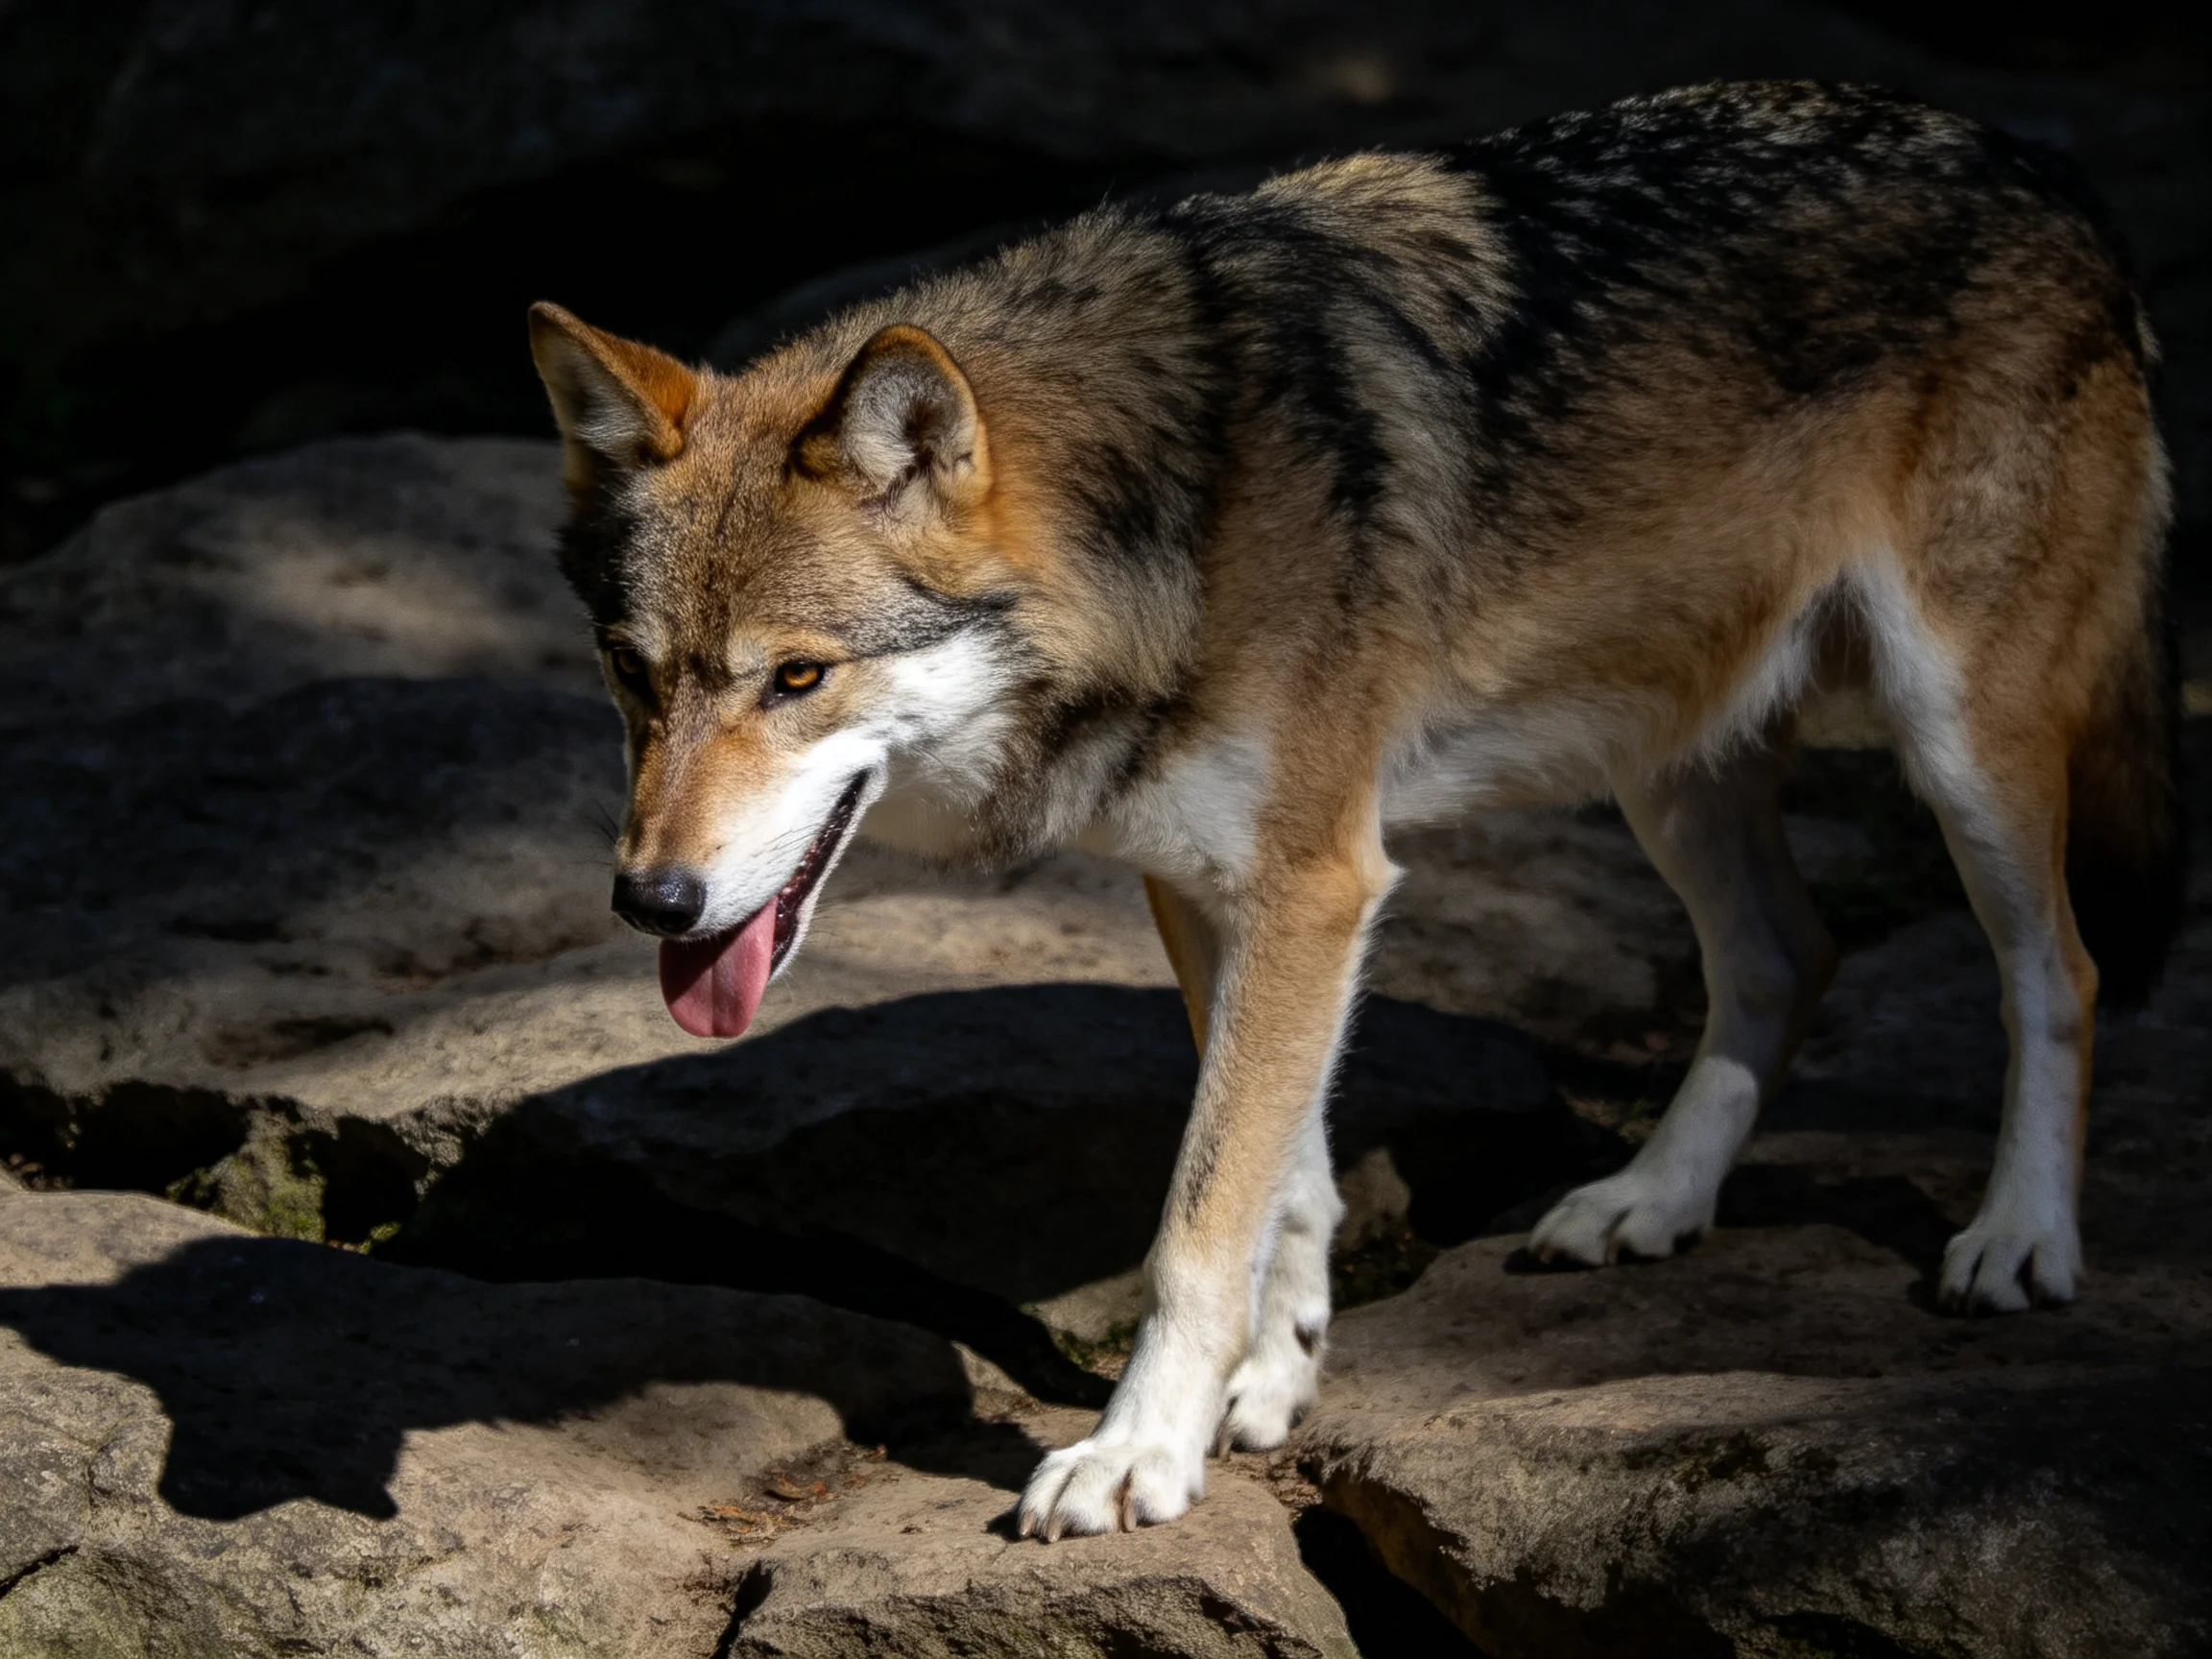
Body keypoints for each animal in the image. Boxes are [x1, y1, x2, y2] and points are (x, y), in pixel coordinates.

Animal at [527, 81, 2181, 1539]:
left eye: (798, 677)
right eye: (631, 673)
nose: (649, 902)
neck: (1179, 507)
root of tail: (2047, 169)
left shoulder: (1316, 883)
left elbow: (1202, 1218)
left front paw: (1135, 1456)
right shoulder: (1219, 892)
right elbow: (1291, 1176)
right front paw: (1268, 1381)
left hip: (1961, 744)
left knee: (2063, 971)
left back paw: (2021, 1238)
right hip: (1669, 763)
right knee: (1792, 957)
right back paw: (1648, 1201)